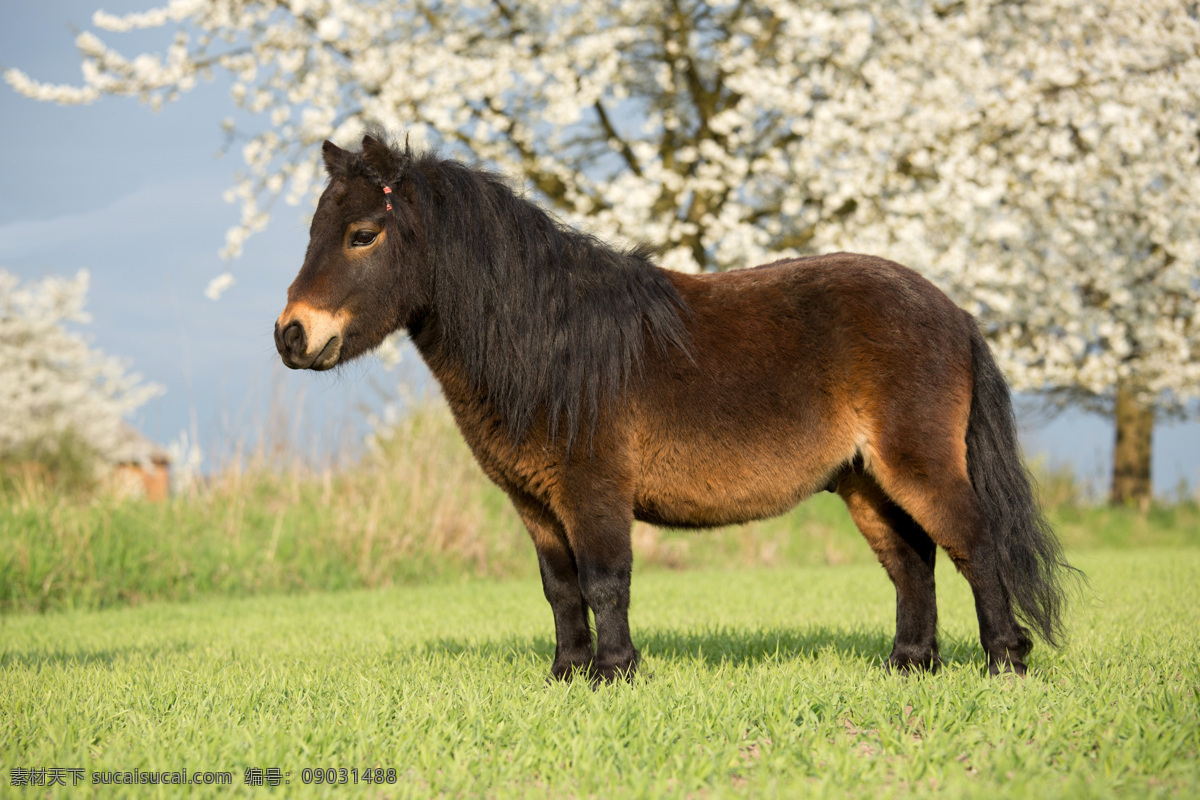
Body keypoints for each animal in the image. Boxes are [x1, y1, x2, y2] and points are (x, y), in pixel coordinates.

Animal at [276, 134, 1075, 686]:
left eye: (363, 234)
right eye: (313, 231)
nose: (292, 336)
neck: (551, 343)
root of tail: (953, 311)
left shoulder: (594, 490)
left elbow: (605, 579)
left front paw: (615, 674)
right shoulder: (534, 502)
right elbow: (561, 589)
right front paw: (566, 675)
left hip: (918, 465)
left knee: (975, 544)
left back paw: (1006, 662)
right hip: (864, 480)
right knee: (912, 563)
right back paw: (909, 665)